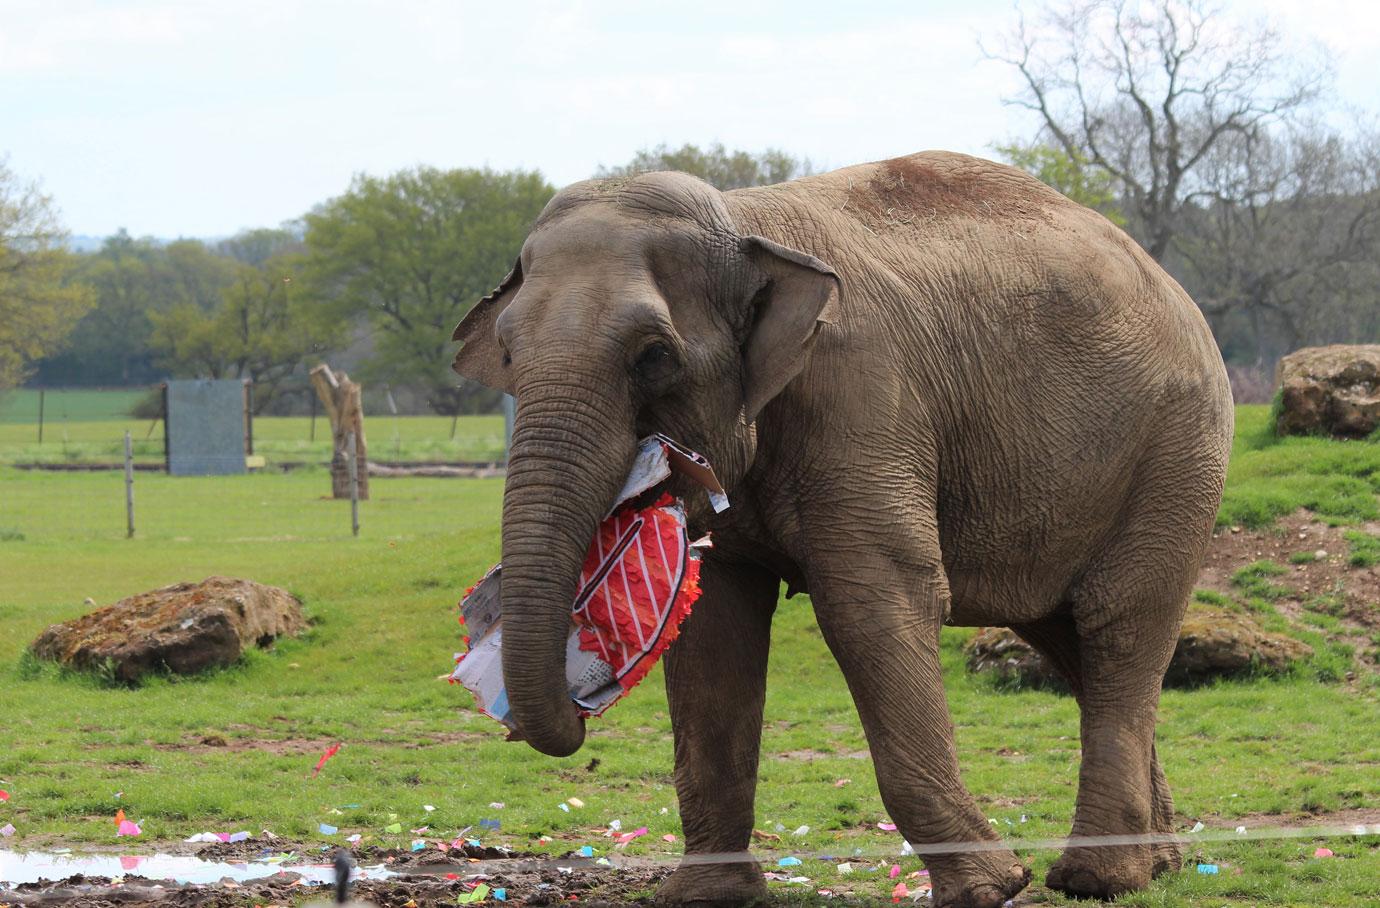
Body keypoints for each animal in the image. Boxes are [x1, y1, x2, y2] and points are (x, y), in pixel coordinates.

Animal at [449, 151, 1230, 899]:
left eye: (654, 356)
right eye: (509, 356)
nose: (578, 706)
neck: (743, 220)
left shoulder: (864, 392)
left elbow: (872, 603)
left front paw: (991, 889)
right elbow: (712, 629)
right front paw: (705, 894)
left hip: (1176, 454)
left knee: (1120, 625)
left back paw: (1100, 879)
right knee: (1070, 643)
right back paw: (1157, 865)